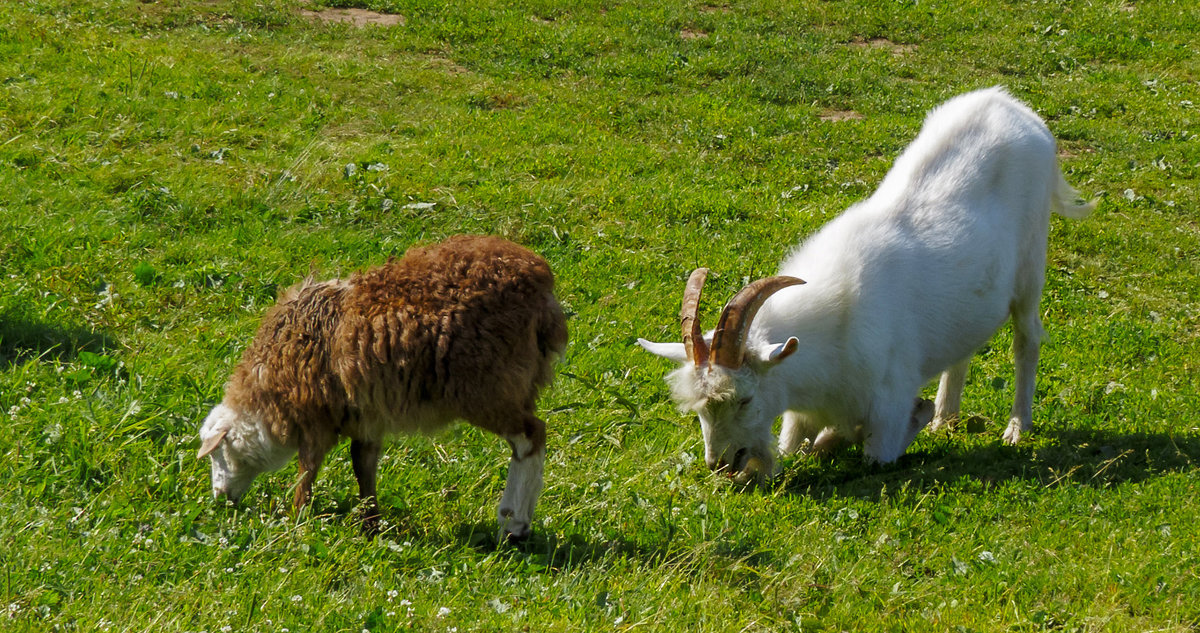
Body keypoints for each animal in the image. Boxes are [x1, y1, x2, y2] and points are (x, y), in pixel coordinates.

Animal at [196, 234, 566, 541]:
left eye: (216, 453)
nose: (219, 499)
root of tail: (541, 286)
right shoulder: (365, 416)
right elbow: (363, 465)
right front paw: (370, 522)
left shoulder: (316, 416)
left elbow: (307, 470)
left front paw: (297, 517)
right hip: (517, 385)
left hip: (487, 388)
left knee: (531, 436)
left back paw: (513, 522)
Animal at [643, 85, 1094, 479]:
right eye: (700, 410)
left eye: (745, 399)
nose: (721, 463)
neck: (833, 335)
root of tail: (1013, 107)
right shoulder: (802, 414)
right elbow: (800, 446)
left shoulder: (887, 405)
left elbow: (868, 450)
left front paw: (913, 413)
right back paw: (945, 417)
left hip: (1030, 270)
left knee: (1027, 339)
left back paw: (1016, 427)